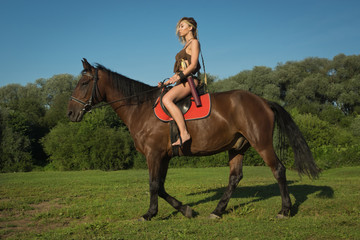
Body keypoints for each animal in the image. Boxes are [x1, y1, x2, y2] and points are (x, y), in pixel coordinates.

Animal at [68, 59, 320, 220]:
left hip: (262, 144)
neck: (141, 108)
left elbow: (153, 185)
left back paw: (285, 210)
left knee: (278, 170)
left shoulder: (154, 154)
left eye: (84, 83)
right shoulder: (164, 156)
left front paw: (149, 214)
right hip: (237, 147)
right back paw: (217, 211)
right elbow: (160, 186)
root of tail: (263, 101)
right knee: (234, 178)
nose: (70, 113)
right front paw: (187, 210)